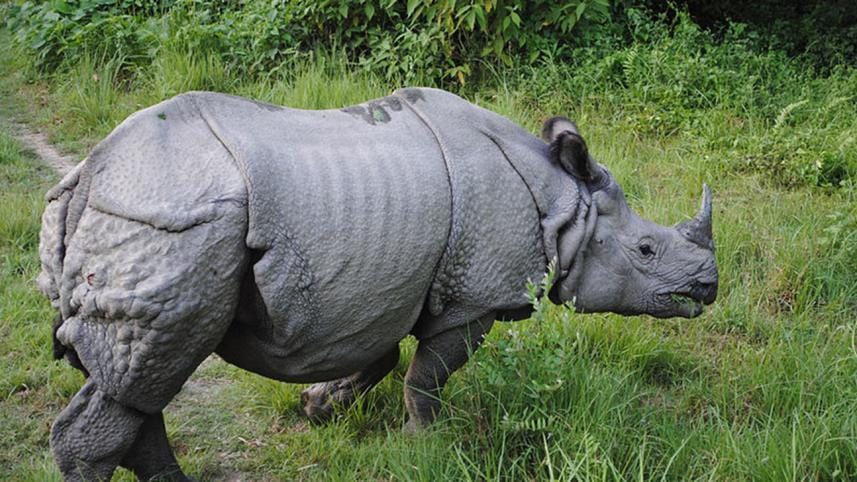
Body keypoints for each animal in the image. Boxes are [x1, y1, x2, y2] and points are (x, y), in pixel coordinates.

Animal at [38, 87, 717, 480]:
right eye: (647, 250)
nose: (708, 286)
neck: (564, 205)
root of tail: (89, 174)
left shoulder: (388, 287)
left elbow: (381, 357)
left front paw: (319, 407)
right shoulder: (474, 298)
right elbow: (427, 378)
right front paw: (423, 448)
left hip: (151, 219)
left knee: (138, 382)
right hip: (172, 222)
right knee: (149, 373)